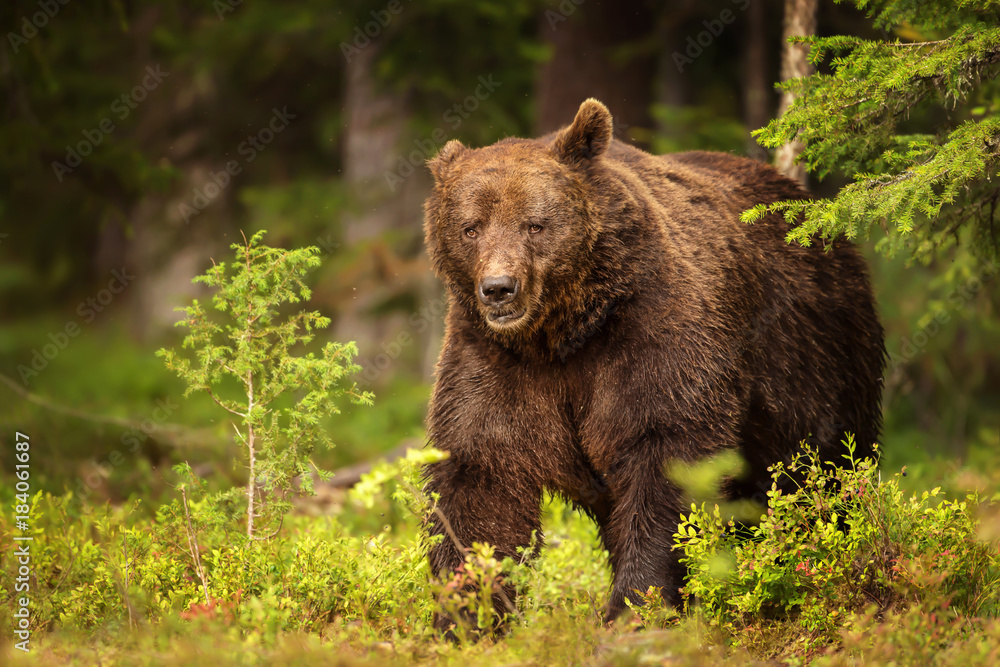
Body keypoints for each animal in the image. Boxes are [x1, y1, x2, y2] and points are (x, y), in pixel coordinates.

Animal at [420, 96, 884, 628]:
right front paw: (469, 614)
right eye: (470, 228)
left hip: (816, 357)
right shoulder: (495, 358)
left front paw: (637, 603)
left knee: (826, 465)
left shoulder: (653, 329)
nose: (498, 288)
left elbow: (665, 449)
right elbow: (481, 476)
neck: (565, 331)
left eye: (535, 224)